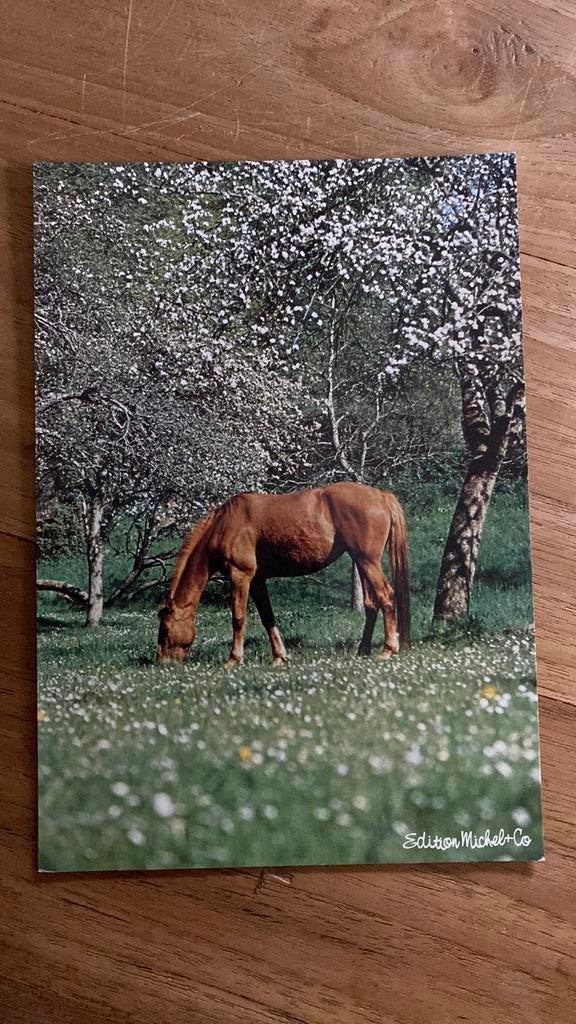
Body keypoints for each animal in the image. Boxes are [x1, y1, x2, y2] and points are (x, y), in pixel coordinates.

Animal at [156, 481, 410, 667]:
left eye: (165, 629)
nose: (163, 662)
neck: (223, 525)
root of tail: (380, 495)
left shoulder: (240, 576)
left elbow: (238, 618)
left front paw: (233, 660)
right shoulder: (257, 581)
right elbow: (268, 617)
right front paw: (279, 656)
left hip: (368, 561)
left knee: (386, 597)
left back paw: (388, 649)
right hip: (361, 561)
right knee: (371, 603)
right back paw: (363, 650)